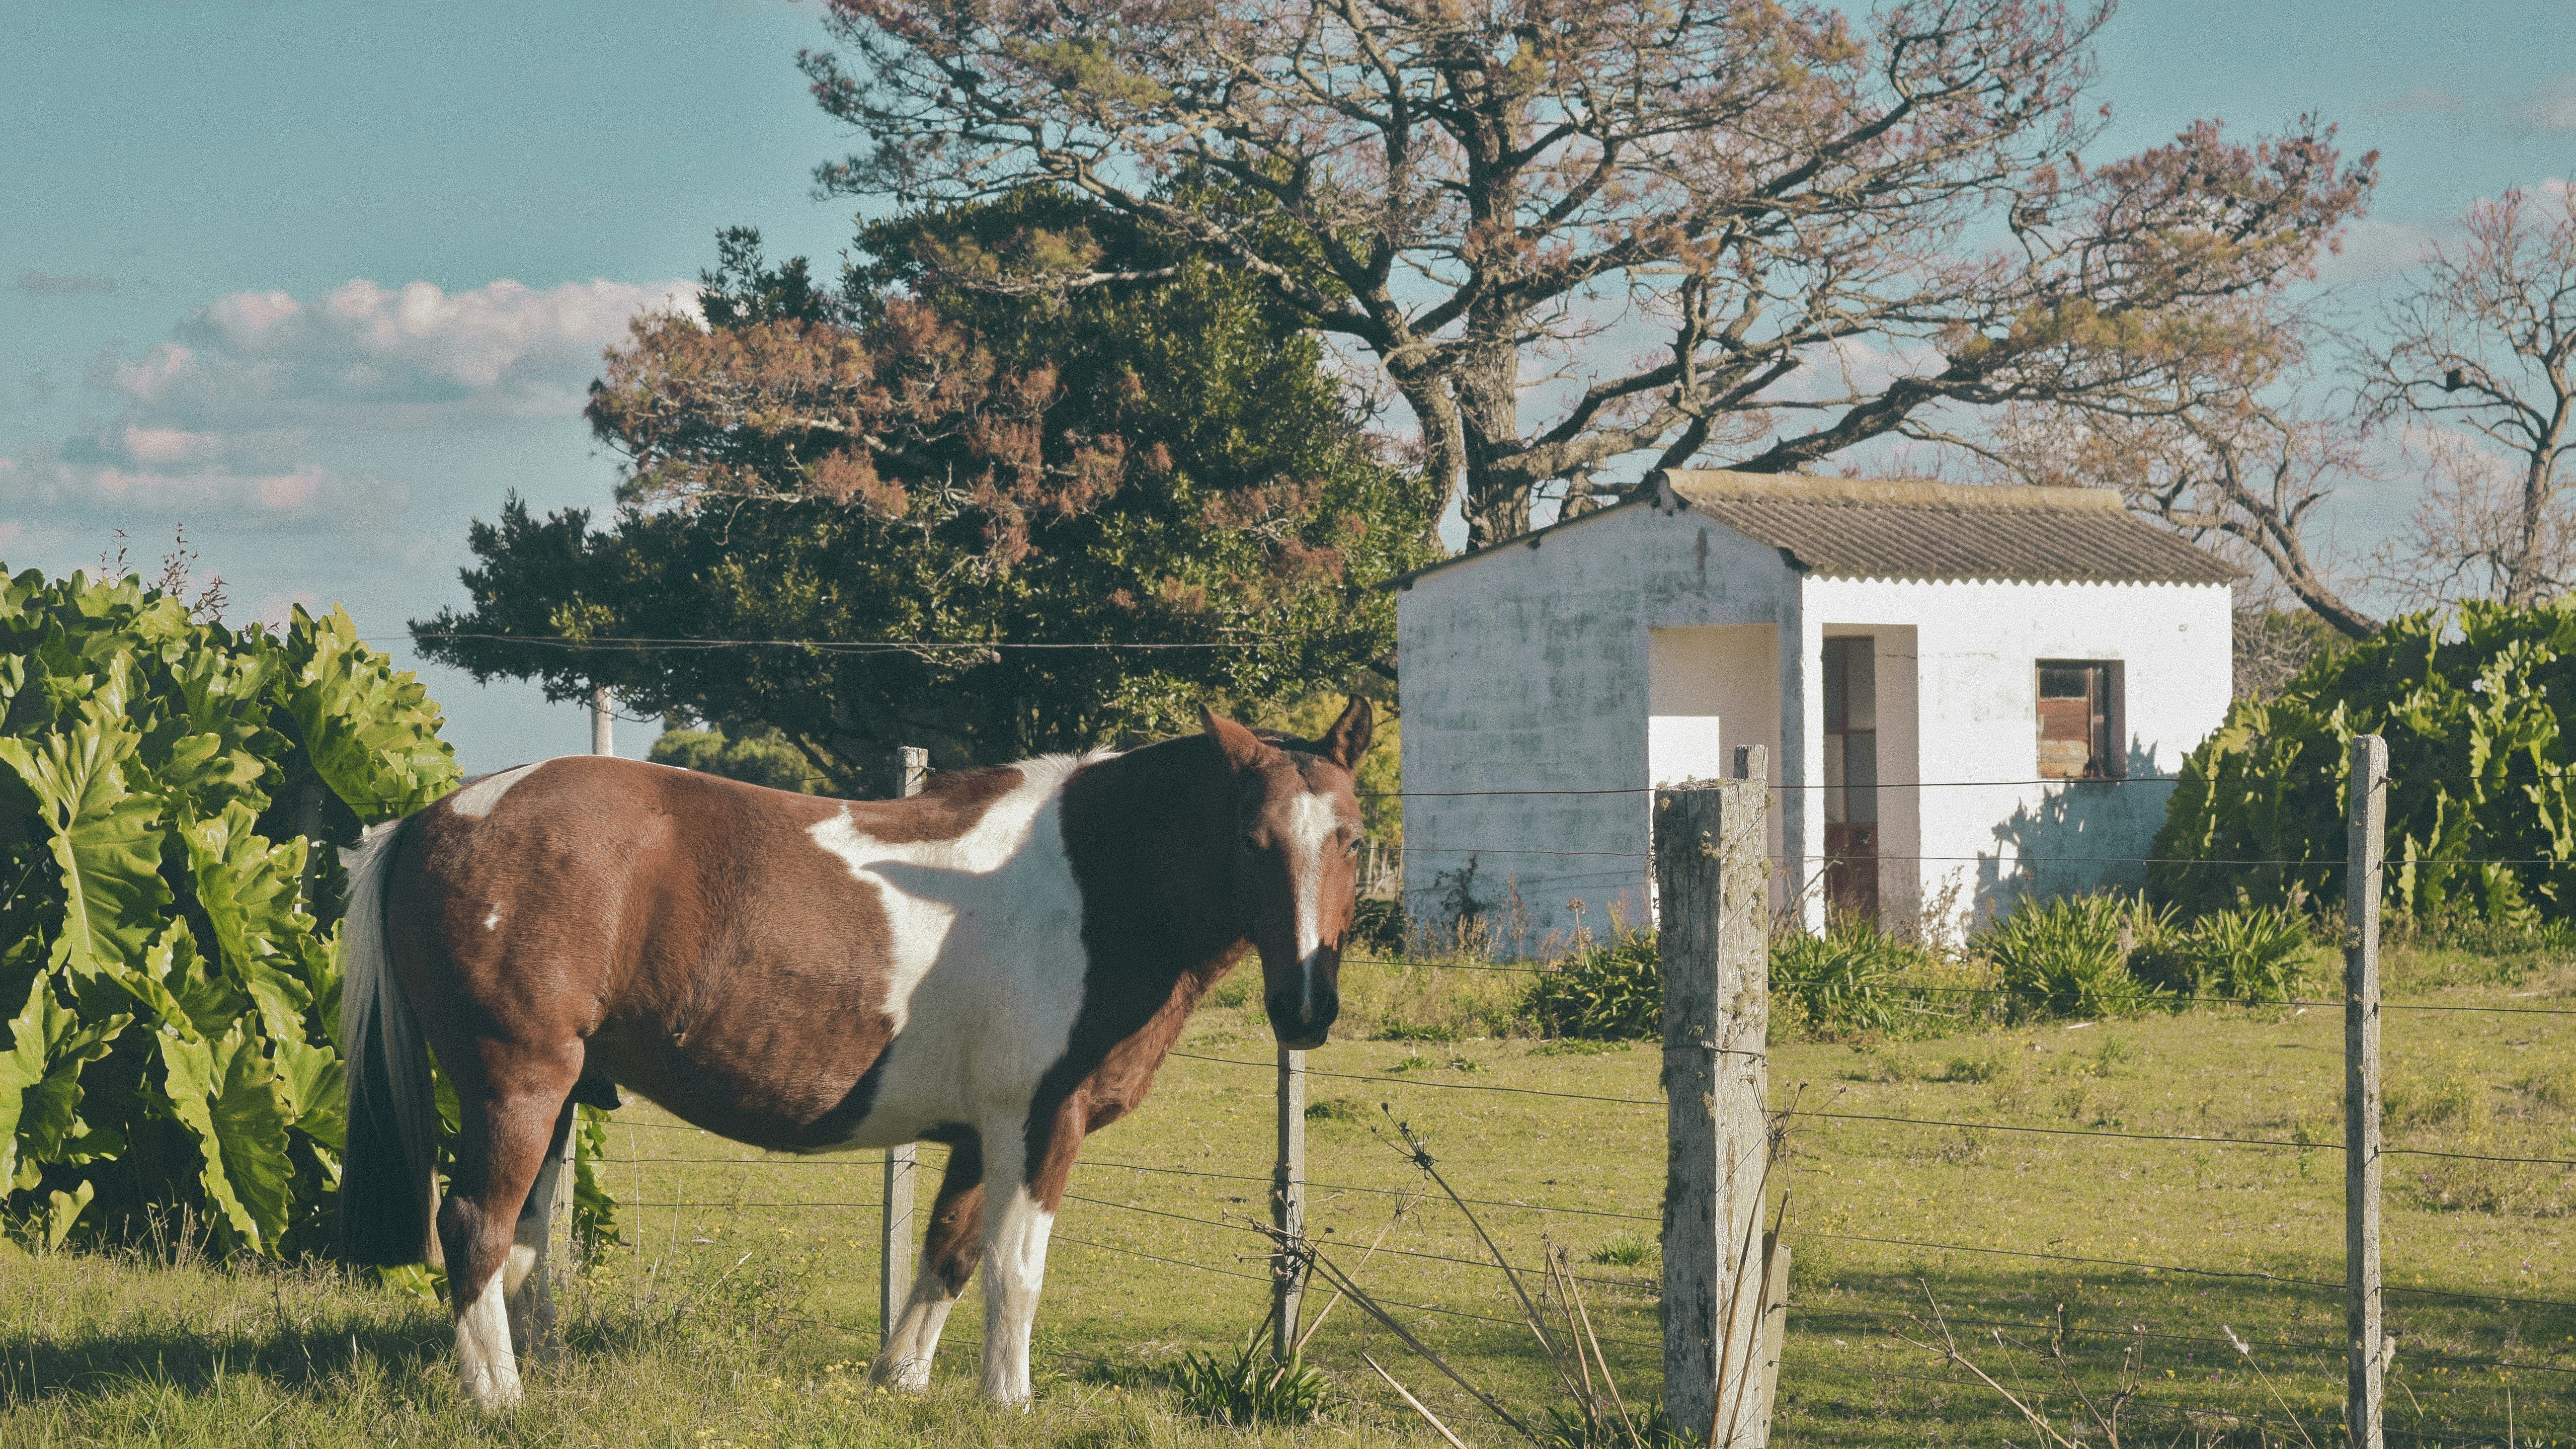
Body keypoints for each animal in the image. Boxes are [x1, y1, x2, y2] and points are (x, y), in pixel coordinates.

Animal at [334, 701, 1372, 1412]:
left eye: (1353, 840)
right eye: (1253, 840)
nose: (1306, 1008)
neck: (1093, 880)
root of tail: (431, 818)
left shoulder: (977, 1136)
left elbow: (951, 1255)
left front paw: (900, 1383)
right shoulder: (1038, 1124)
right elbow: (1016, 1270)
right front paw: (1008, 1403)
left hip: (554, 1101)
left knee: (524, 1242)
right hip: (517, 1084)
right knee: (474, 1227)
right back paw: (500, 1402)